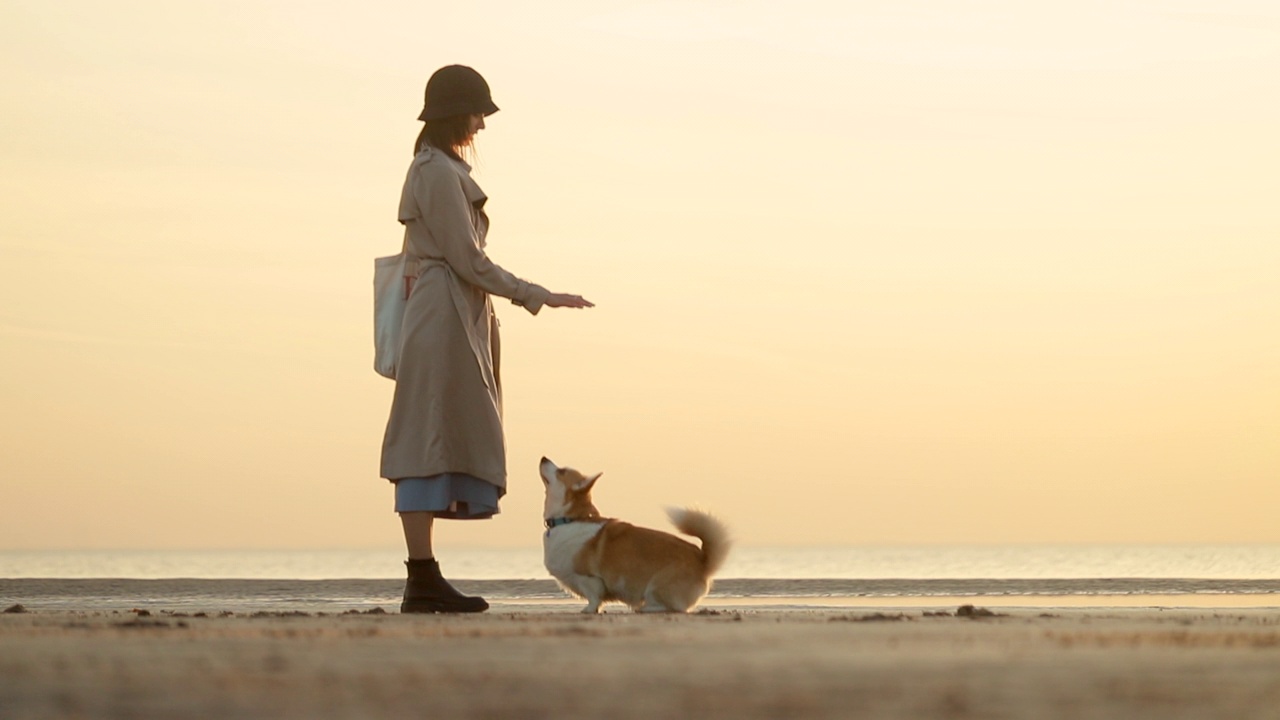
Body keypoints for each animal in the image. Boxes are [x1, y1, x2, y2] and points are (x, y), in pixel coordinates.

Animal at [537, 453, 732, 609]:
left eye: (561, 471)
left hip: (655, 587)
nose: (543, 457)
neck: (568, 520)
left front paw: (588, 610)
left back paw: (645, 608)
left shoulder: (589, 579)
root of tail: (703, 561)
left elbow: (594, 599)